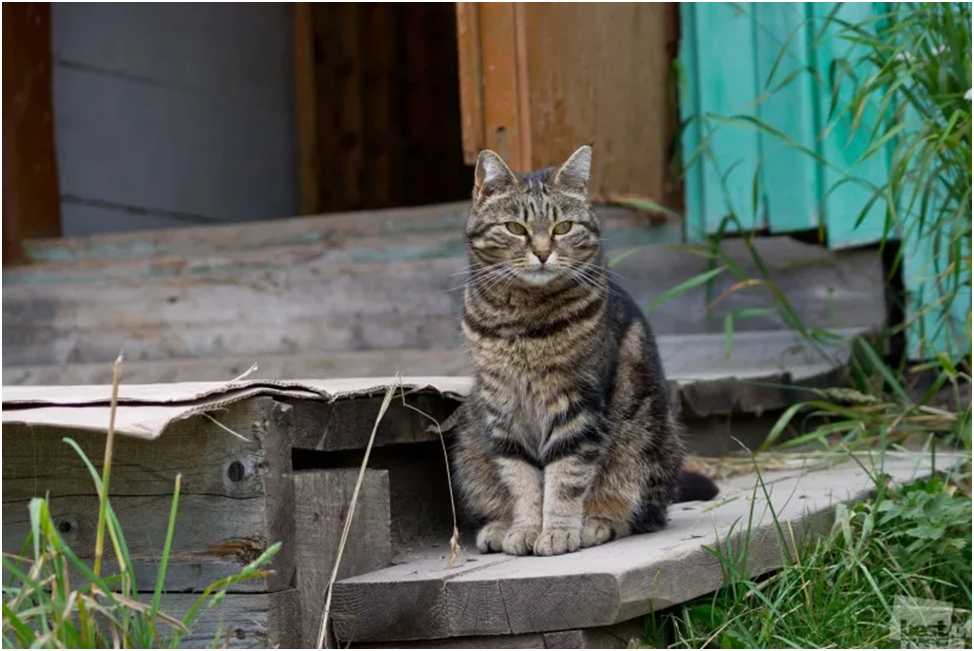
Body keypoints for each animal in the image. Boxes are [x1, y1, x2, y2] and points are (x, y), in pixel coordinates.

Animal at [450, 145, 716, 556]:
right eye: (515, 228)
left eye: (563, 228)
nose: (543, 253)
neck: (522, 321)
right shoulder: (502, 403)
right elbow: (520, 478)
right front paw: (525, 529)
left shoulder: (577, 403)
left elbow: (565, 475)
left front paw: (557, 531)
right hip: (469, 432)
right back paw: (499, 526)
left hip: (649, 435)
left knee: (643, 515)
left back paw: (596, 522)